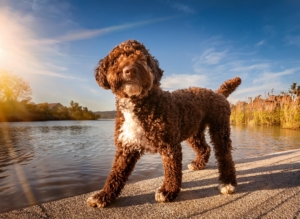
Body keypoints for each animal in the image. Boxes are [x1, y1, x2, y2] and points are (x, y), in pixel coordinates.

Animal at [87, 39, 241, 209]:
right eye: (116, 59)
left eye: (142, 57)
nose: (130, 70)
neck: (140, 103)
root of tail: (218, 93)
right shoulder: (126, 146)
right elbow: (116, 173)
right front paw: (103, 195)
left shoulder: (169, 146)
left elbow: (172, 170)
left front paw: (168, 191)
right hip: (193, 131)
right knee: (204, 148)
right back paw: (198, 164)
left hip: (220, 129)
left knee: (225, 156)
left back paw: (227, 183)